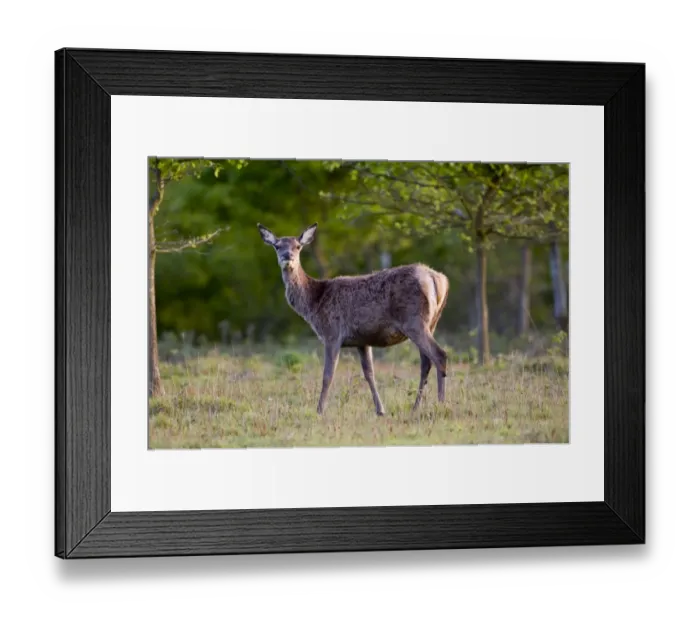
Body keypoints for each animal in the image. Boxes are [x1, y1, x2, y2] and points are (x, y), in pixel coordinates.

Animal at [257, 222, 450, 417]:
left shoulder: (332, 333)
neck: (314, 302)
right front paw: (380, 410)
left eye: (298, 246)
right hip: (431, 322)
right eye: (277, 246)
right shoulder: (362, 340)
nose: (287, 256)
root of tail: (437, 278)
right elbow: (369, 374)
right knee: (426, 362)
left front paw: (319, 410)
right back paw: (415, 407)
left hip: (414, 321)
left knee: (439, 355)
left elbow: (328, 375)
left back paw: (440, 404)